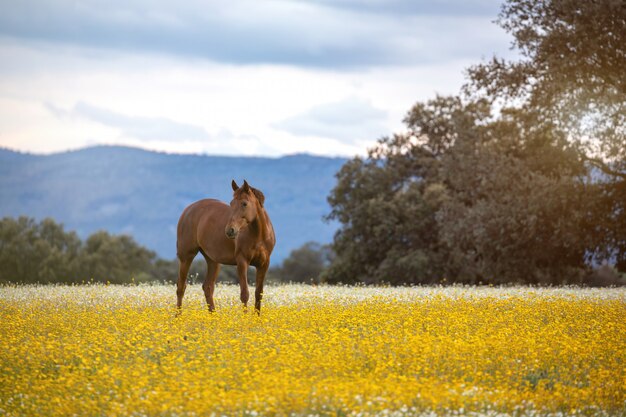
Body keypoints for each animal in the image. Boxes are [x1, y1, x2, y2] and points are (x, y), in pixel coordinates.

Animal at [174, 179, 274, 312]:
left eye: (244, 203)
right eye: (231, 203)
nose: (230, 230)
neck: (259, 236)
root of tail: (188, 209)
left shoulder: (264, 264)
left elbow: (259, 294)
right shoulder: (242, 262)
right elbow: (245, 294)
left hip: (213, 261)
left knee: (208, 287)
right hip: (186, 256)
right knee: (181, 287)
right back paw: (178, 316)